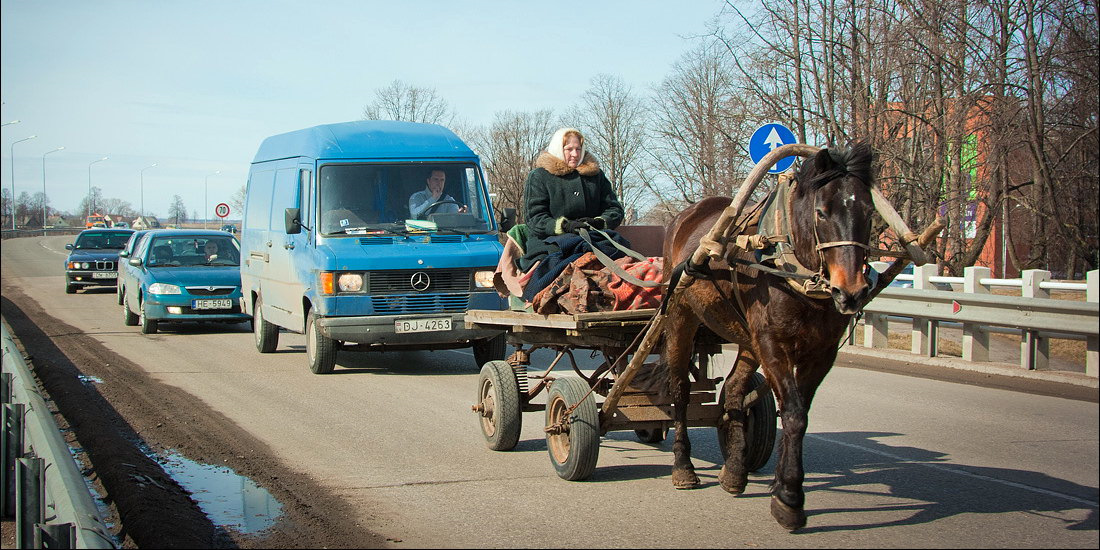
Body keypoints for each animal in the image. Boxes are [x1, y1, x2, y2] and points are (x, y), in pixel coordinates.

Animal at [660, 144, 875, 530]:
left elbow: (797, 413)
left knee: (733, 391)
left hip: (745, 336)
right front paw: (789, 497)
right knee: (680, 391)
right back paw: (683, 466)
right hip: (681, 317)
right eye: (822, 212)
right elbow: (793, 413)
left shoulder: (822, 352)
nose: (851, 291)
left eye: (869, 211)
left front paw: (779, 486)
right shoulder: (773, 344)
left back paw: (734, 471)